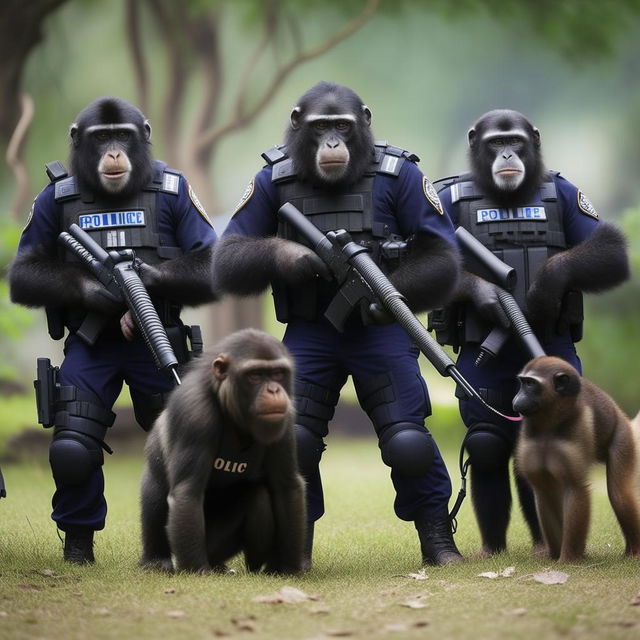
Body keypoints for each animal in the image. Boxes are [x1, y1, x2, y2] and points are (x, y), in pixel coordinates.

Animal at [8, 97, 218, 564]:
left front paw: (142, 280)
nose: (115, 152)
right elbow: (23, 269)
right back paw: (78, 547)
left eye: (123, 134)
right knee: (75, 437)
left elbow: (211, 259)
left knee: (158, 411)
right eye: (102, 137)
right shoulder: (44, 206)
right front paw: (103, 292)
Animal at [141, 330, 306, 576]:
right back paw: (157, 559)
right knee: (155, 491)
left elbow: (287, 487)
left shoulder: (285, 419)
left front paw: (288, 567)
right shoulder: (195, 415)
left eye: (277, 373)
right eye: (255, 375)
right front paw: (197, 571)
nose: (274, 390)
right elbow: (187, 493)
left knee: (259, 498)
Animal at [212, 82, 462, 568]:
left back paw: (441, 547)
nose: (332, 143)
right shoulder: (260, 186)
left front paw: (379, 304)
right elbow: (229, 250)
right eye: (321, 126)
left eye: (343, 126)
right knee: (302, 435)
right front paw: (301, 259)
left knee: (405, 436)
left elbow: (440, 251)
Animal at [512, 356, 640, 560]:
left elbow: (575, 488)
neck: (549, 424)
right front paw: (554, 554)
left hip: (623, 436)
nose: (517, 398)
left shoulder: (581, 424)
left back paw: (634, 550)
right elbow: (544, 490)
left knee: (619, 494)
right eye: (522, 383)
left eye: (530, 384)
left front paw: (568, 558)